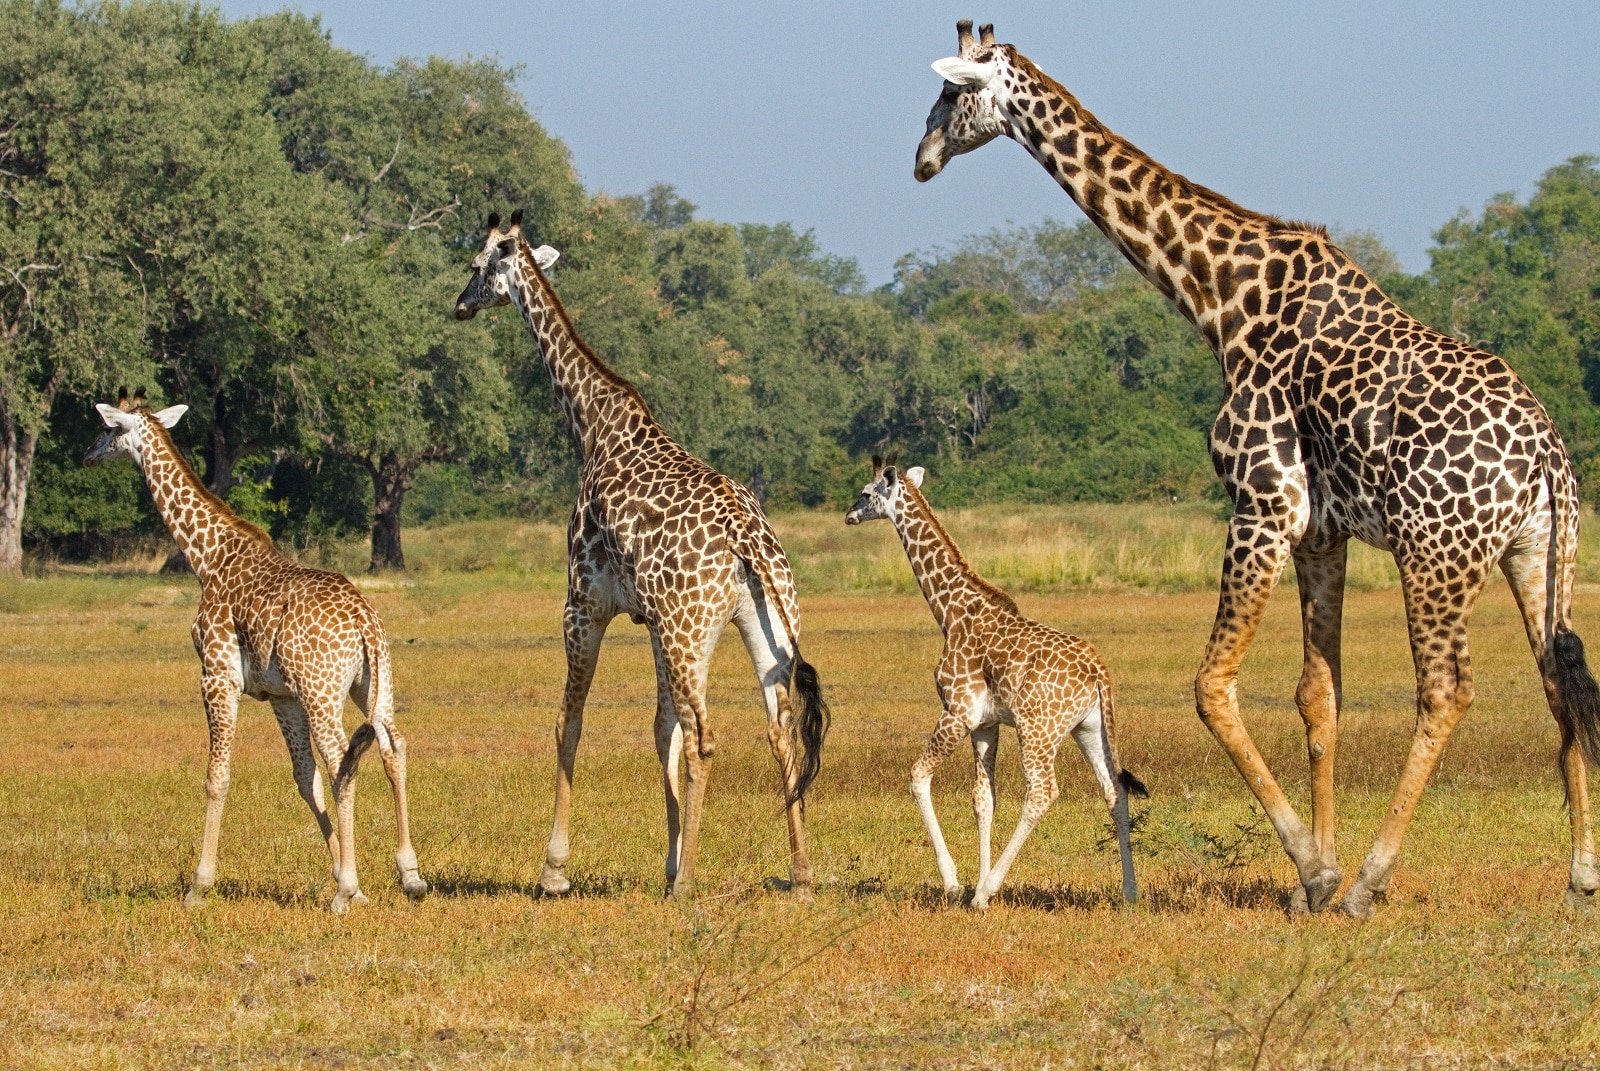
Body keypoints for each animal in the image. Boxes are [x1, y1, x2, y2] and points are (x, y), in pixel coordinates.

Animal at [451, 212, 825, 896]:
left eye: (476, 264)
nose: (461, 305)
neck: (591, 427)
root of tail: (749, 541)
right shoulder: (650, 621)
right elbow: (659, 731)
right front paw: (669, 856)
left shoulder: (582, 605)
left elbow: (569, 723)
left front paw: (555, 871)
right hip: (759, 628)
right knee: (779, 731)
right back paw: (801, 874)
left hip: (689, 630)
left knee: (708, 736)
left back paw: (689, 886)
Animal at [844, 454, 1145, 909]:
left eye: (865, 493)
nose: (848, 515)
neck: (950, 612)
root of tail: (1099, 672)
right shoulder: (985, 723)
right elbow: (983, 800)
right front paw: (976, 884)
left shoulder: (956, 712)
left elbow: (917, 778)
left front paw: (957, 884)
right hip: (1089, 728)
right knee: (1115, 790)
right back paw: (1129, 892)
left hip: (1038, 728)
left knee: (1042, 792)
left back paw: (989, 889)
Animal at [915, 20, 1600, 915]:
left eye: (949, 92)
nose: (921, 157)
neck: (1219, 299)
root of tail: (1549, 451)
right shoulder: (1319, 534)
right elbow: (1319, 695)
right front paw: (1317, 871)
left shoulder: (1261, 504)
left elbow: (1211, 685)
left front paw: (1318, 869)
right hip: (1536, 549)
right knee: (1564, 676)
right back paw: (1580, 874)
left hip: (1437, 553)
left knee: (1449, 689)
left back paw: (1372, 880)